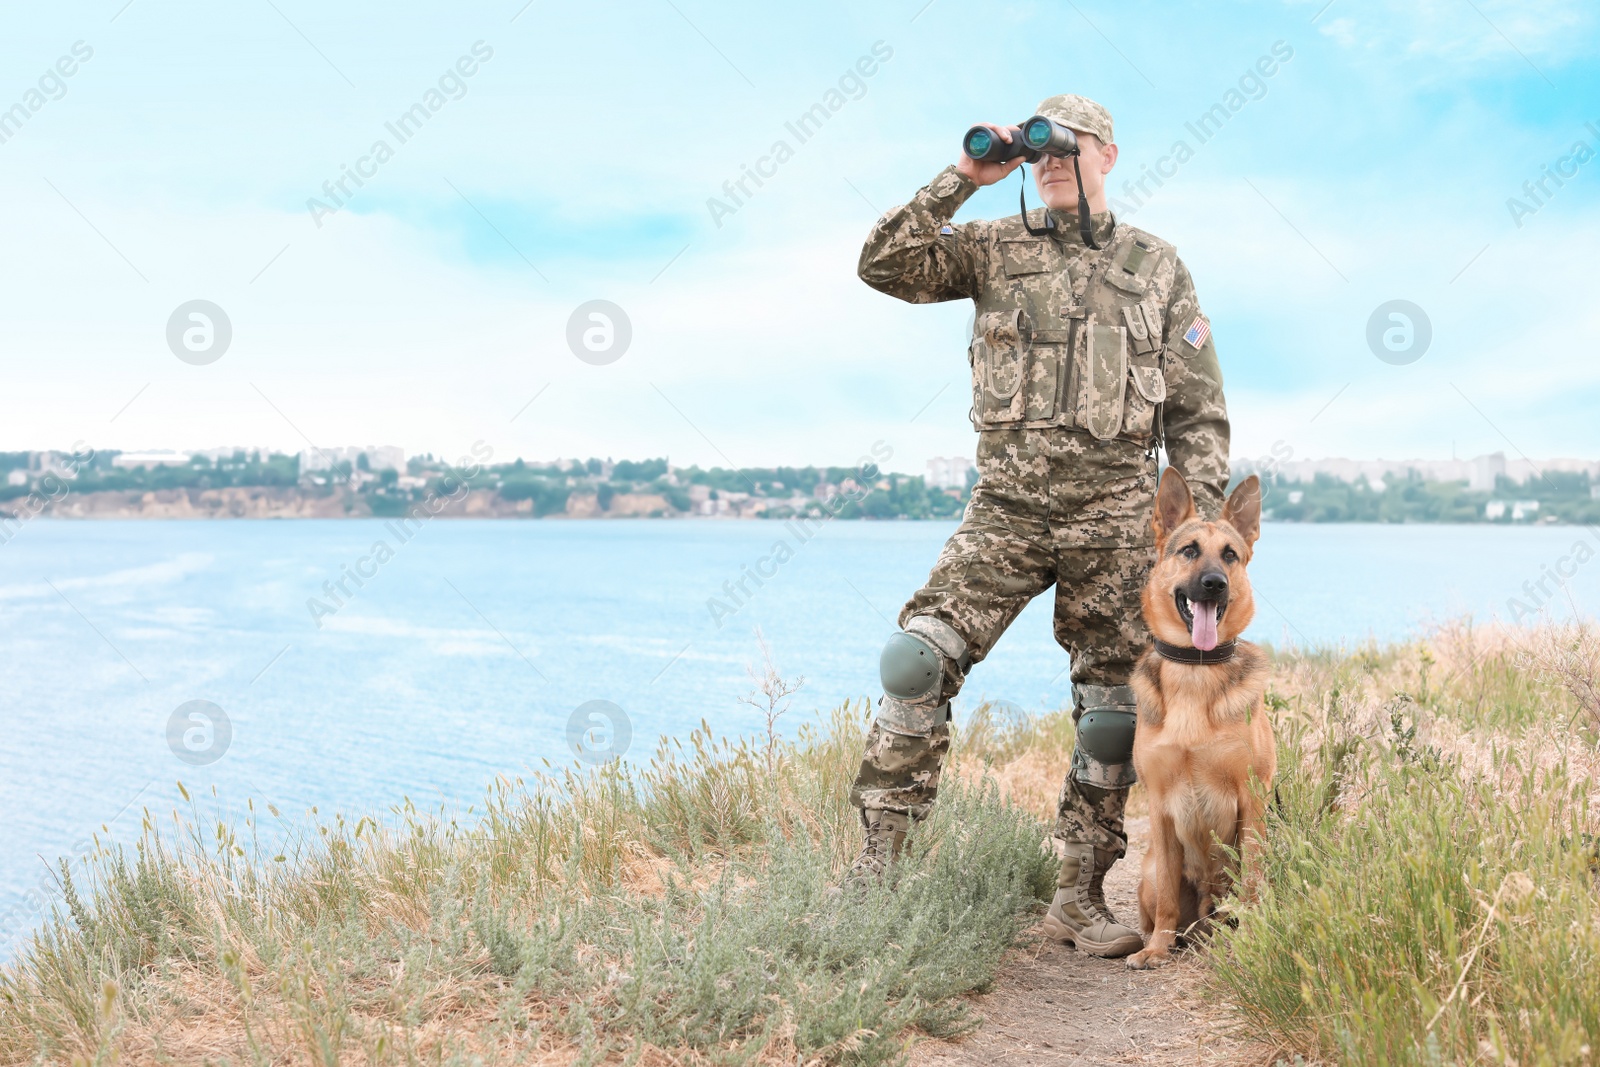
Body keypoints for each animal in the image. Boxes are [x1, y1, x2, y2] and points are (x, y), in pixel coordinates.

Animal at [1126, 470, 1273, 972]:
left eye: (1230, 555)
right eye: (1189, 550)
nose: (1213, 584)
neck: (1196, 669)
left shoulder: (1251, 799)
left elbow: (1252, 881)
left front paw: (1251, 939)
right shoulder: (1160, 807)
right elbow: (1170, 899)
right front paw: (1156, 950)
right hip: (1149, 870)